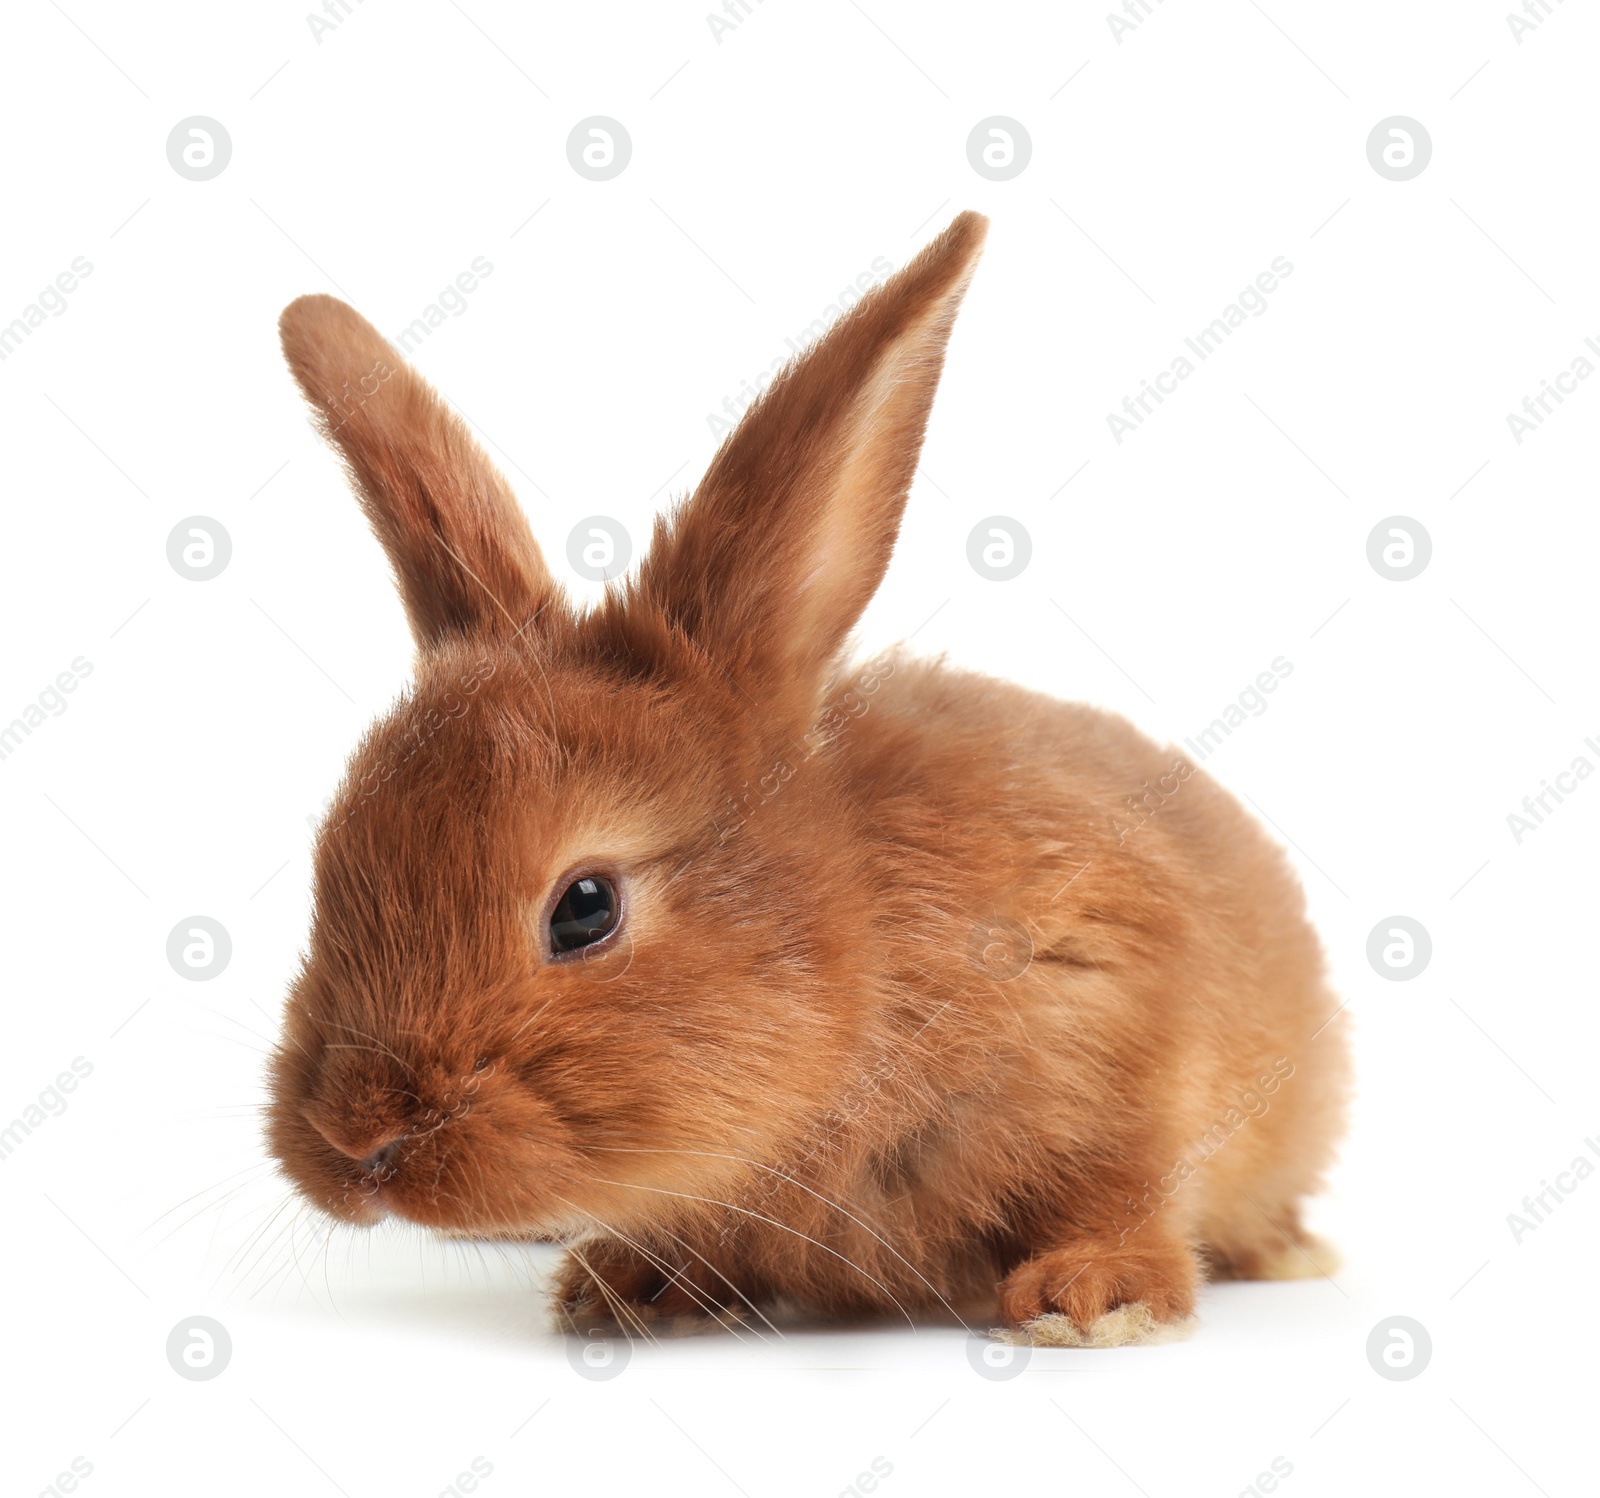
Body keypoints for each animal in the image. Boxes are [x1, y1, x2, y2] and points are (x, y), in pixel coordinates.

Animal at [268, 212, 1344, 1344]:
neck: (864, 938)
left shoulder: (1117, 1021)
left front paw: (1090, 1299)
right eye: (329, 867)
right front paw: (622, 1286)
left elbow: (1120, 1185)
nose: (355, 1142)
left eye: (585, 907)